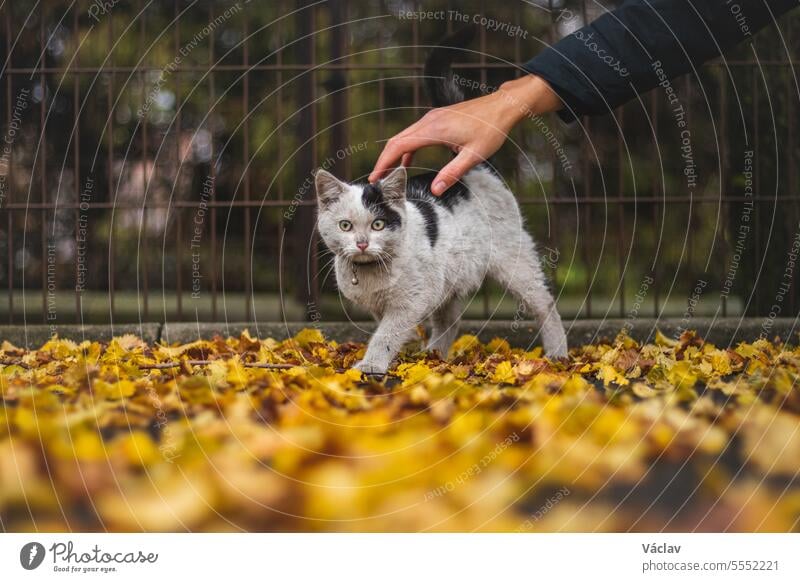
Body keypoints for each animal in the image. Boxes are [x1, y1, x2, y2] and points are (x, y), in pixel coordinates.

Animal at [316, 28, 564, 374]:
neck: (370, 274)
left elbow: (388, 331)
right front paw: (406, 347)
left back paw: (558, 353)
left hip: (515, 263)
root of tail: (474, 169)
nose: (363, 243)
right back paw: (433, 356)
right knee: (450, 320)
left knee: (546, 304)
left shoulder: (414, 298)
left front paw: (372, 364)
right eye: (345, 226)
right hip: (448, 277)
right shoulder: (396, 300)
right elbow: (387, 324)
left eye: (378, 224)